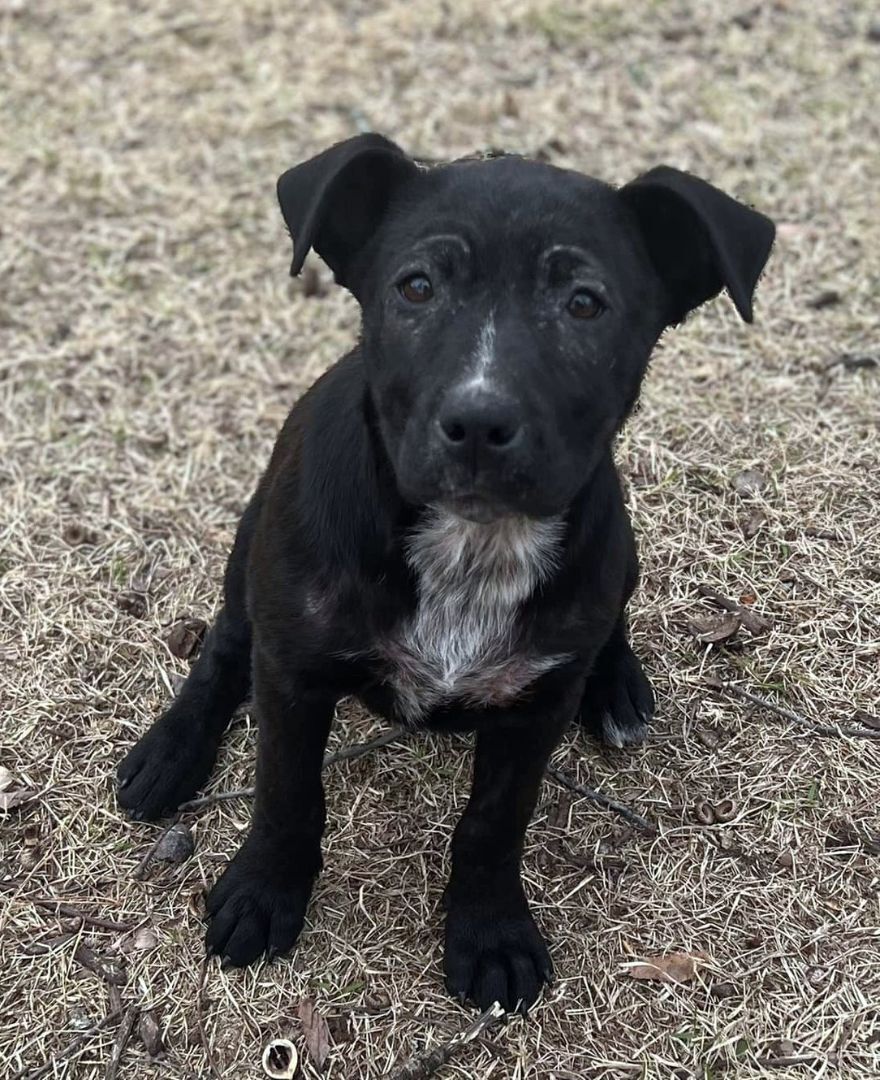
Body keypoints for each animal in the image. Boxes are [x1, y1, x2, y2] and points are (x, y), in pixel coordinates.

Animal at [117, 135, 768, 1010]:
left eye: (585, 304)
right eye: (416, 287)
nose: (480, 422)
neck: (470, 542)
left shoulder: (534, 714)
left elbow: (493, 824)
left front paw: (489, 930)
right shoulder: (292, 673)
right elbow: (287, 792)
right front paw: (263, 891)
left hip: (619, 554)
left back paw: (617, 683)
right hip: (252, 546)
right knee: (222, 647)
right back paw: (170, 751)